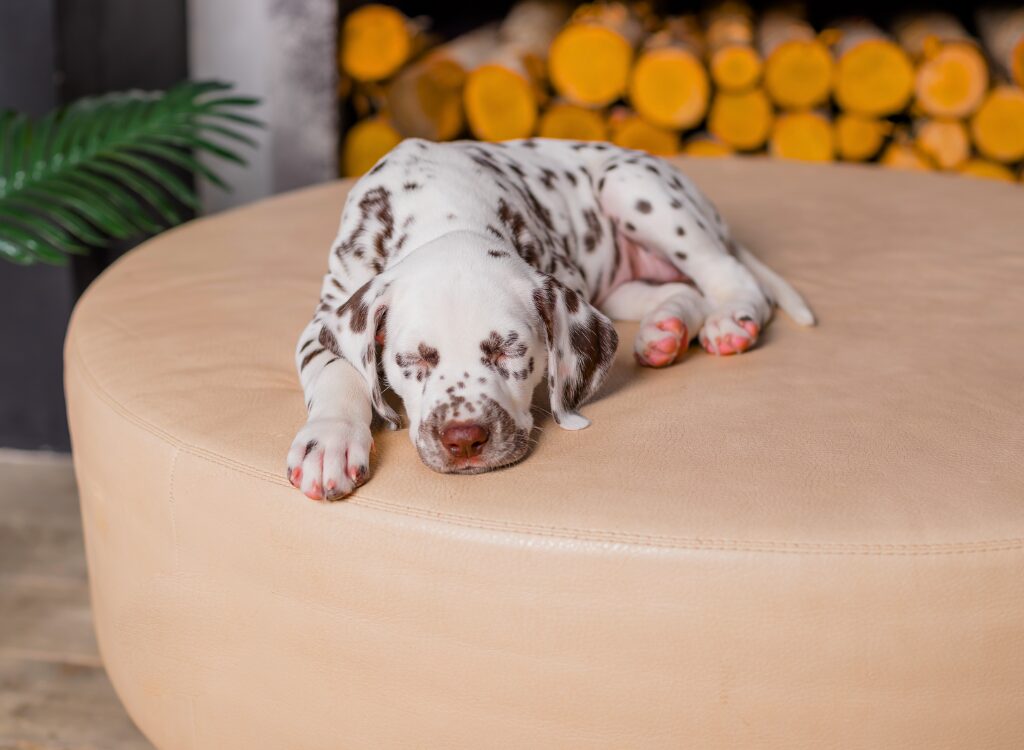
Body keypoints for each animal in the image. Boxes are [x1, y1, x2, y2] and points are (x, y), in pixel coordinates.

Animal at [284, 138, 811, 500]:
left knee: (730, 276)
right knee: (685, 291)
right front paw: (329, 441)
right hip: (620, 288)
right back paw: (666, 332)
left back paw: (732, 321)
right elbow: (338, 371)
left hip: (633, 187)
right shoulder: (325, 318)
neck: (440, 209)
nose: (464, 439)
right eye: (413, 359)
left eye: (509, 349)